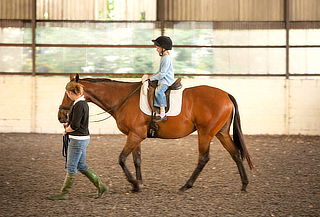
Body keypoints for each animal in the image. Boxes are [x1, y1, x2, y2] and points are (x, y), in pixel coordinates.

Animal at [57, 74, 252, 192]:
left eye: (68, 94)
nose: (61, 116)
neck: (123, 99)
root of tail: (225, 94)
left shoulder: (135, 135)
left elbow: (121, 159)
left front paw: (134, 184)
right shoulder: (135, 135)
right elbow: (136, 159)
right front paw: (139, 183)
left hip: (206, 133)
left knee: (204, 158)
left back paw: (186, 186)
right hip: (221, 133)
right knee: (235, 153)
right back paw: (244, 184)